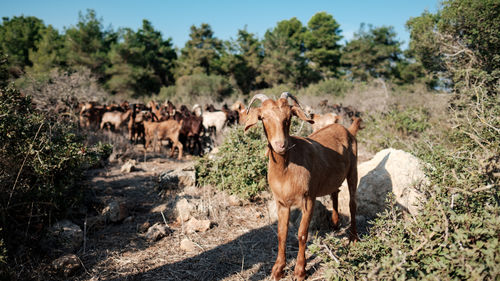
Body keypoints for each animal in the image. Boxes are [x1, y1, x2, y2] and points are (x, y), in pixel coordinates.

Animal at [245, 92, 360, 280]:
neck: (286, 169)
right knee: (335, 192)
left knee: (352, 203)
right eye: (264, 117)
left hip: (353, 171)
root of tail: (347, 130)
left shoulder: (308, 200)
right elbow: (282, 234)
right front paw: (278, 269)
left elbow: (302, 234)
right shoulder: (281, 203)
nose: (281, 145)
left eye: (288, 117)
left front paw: (300, 270)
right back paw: (335, 223)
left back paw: (353, 238)